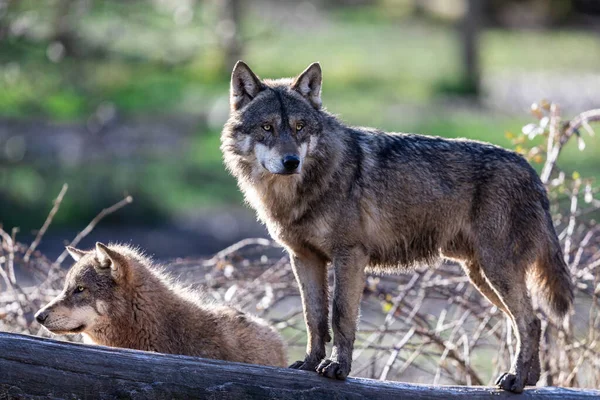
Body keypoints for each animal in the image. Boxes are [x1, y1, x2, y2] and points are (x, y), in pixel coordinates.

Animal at [219, 61, 572, 392]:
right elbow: (314, 318)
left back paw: (516, 380)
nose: (291, 161)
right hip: (481, 276)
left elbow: (341, 316)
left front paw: (338, 368)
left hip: (495, 270)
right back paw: (530, 379)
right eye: (267, 127)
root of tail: (531, 171)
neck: (298, 192)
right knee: (528, 321)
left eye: (299, 127)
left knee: (529, 321)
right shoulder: (305, 258)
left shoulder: (350, 256)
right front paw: (309, 364)